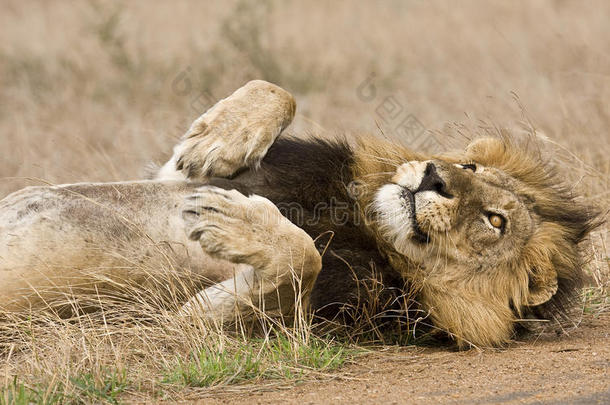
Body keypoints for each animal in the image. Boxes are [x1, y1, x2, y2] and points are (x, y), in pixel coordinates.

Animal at [0, 79, 600, 348]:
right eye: (469, 165)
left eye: (496, 221)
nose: (434, 176)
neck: (364, 219)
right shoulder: (172, 178)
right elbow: (274, 91)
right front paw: (218, 139)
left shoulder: (185, 327)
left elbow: (303, 254)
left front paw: (232, 220)